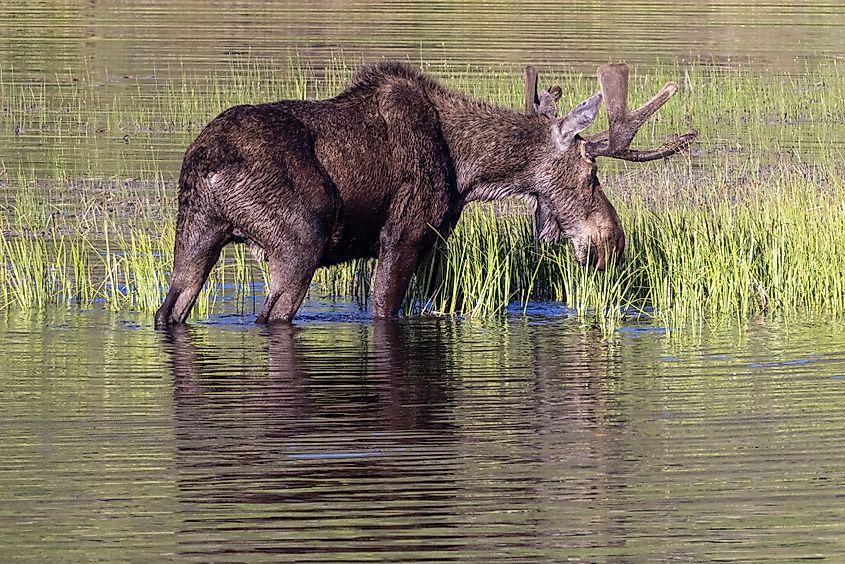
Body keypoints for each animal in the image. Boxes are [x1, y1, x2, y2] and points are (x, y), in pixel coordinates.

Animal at [154, 61, 696, 328]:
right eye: (591, 172)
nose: (612, 242)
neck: (469, 170)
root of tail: (209, 164)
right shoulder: (406, 234)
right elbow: (383, 308)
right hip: (299, 239)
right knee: (270, 317)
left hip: (196, 232)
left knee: (169, 309)